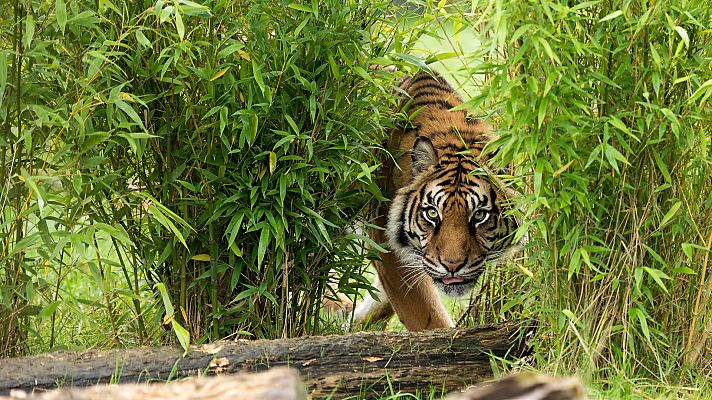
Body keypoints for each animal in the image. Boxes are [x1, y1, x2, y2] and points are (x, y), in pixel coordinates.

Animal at [328, 69, 524, 332]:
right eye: (432, 213)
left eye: (479, 215)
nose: (452, 266)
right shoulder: (389, 248)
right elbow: (427, 317)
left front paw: (353, 321)